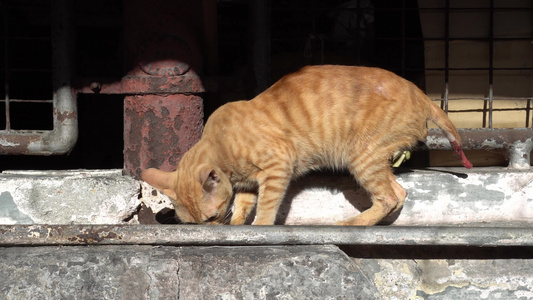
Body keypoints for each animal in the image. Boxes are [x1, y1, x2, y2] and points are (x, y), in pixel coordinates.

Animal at [141, 65, 470, 225]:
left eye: (210, 217)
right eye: (197, 224)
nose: (213, 230)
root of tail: (422, 95)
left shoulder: (278, 165)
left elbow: (266, 207)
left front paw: (258, 228)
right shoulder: (248, 184)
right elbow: (243, 206)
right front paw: (235, 225)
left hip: (363, 157)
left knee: (390, 197)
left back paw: (351, 225)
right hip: (375, 159)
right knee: (399, 193)